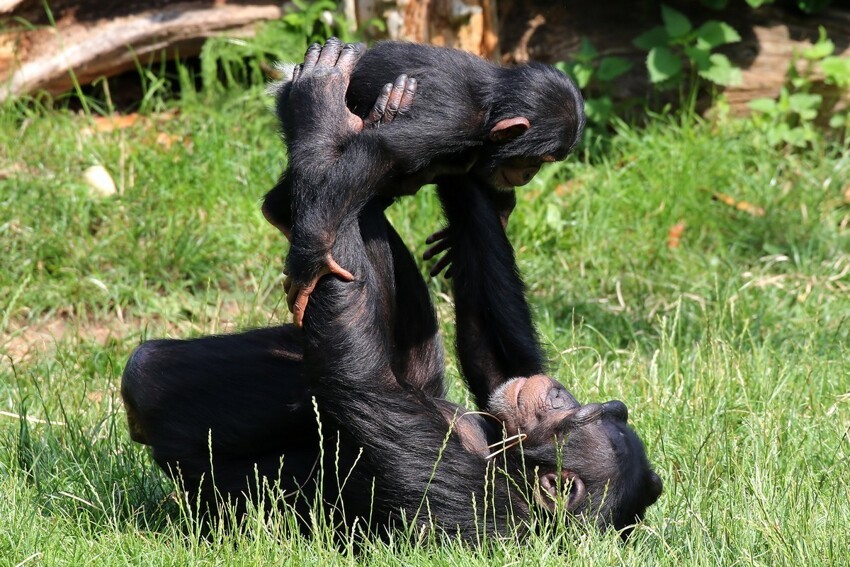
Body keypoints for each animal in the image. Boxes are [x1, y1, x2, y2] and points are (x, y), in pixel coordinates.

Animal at [262, 37, 588, 326]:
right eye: (537, 160)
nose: (530, 174)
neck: (490, 108)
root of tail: (289, 77)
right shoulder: (451, 120)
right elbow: (383, 151)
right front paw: (312, 259)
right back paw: (281, 214)